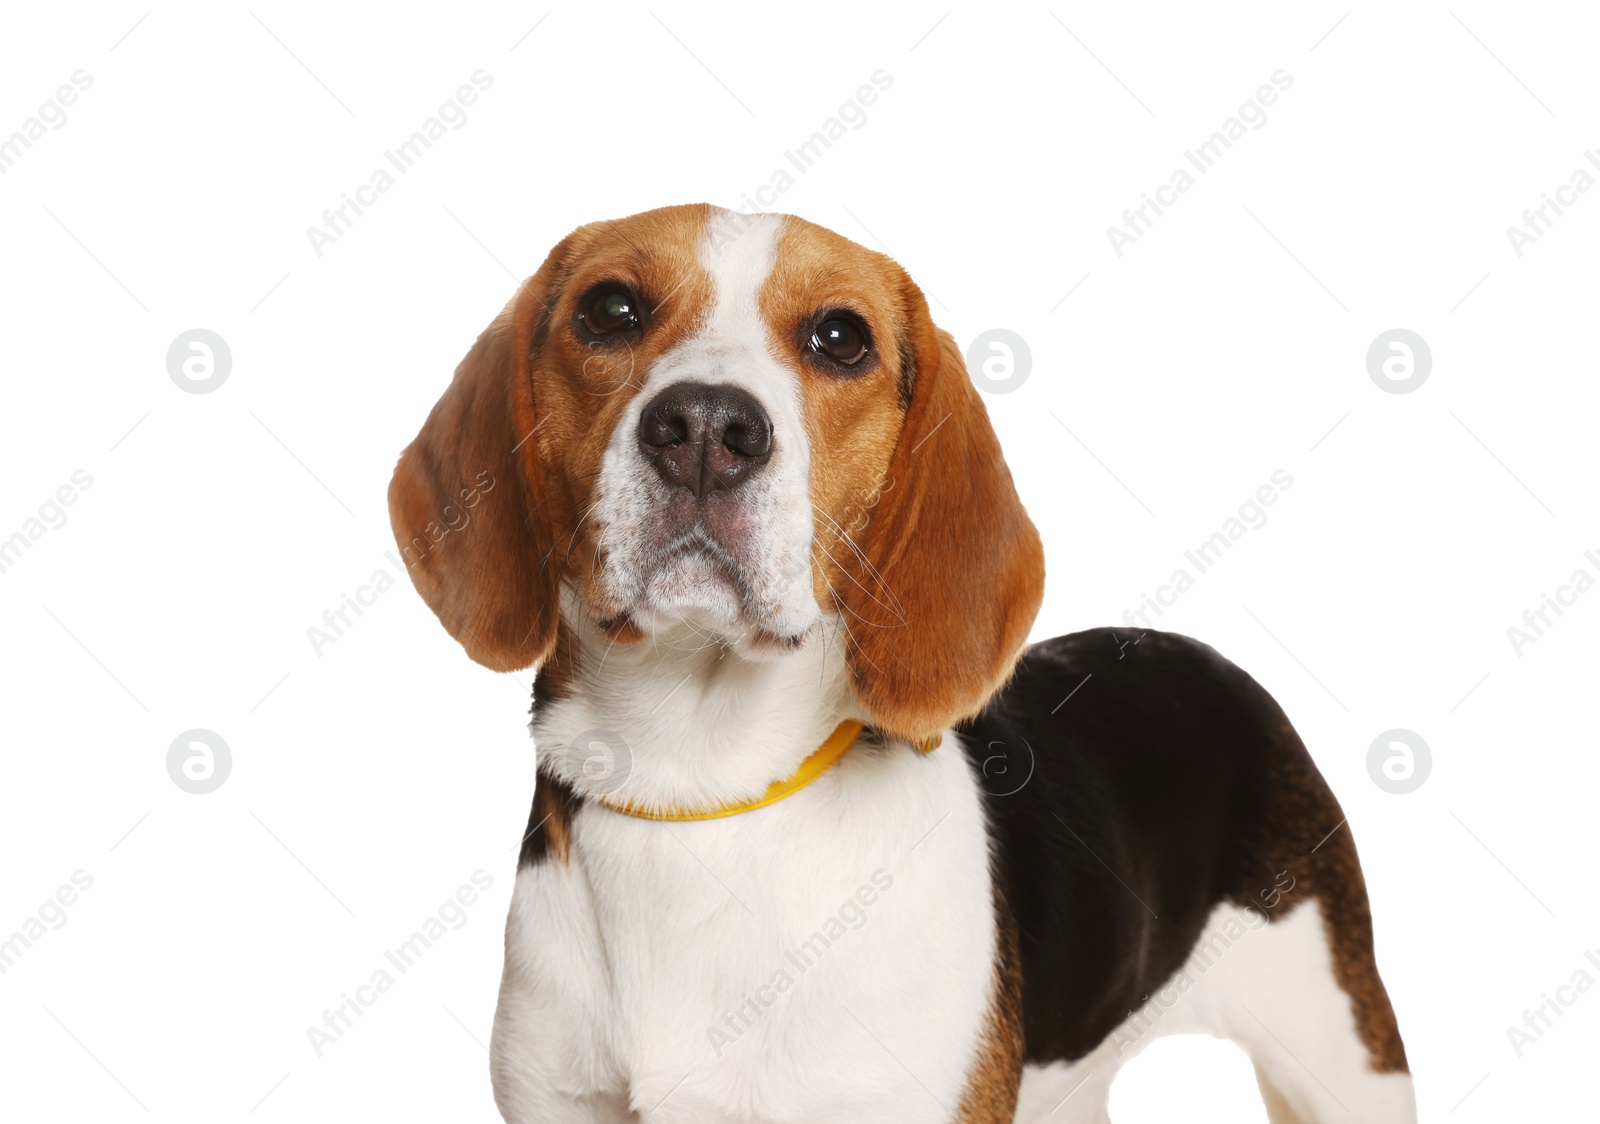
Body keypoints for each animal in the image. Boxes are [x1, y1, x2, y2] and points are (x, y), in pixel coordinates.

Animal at [387, 206, 1414, 1120]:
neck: (701, 785)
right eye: (610, 310)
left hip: (1347, 1058)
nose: (707, 429)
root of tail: (1195, 652)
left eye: (842, 337)